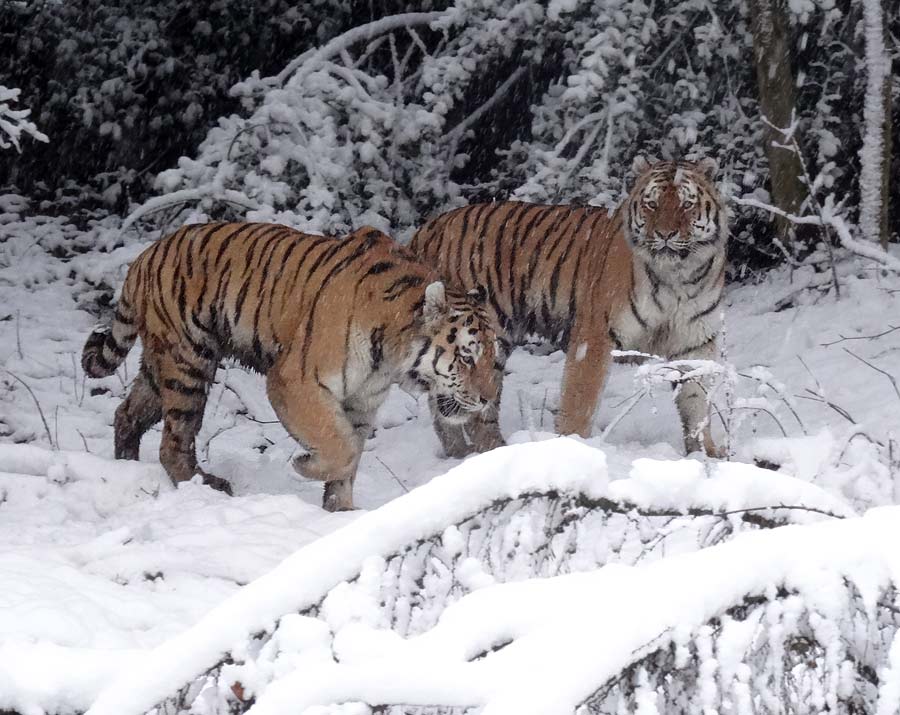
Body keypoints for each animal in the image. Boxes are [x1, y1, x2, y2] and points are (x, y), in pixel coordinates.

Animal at [82, 222, 500, 510]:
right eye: (466, 356)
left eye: (492, 358)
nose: (486, 399)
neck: (390, 358)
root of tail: (146, 255)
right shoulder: (295, 381)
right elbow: (341, 445)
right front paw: (303, 465)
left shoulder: (361, 401)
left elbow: (350, 453)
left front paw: (340, 511)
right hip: (188, 361)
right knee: (174, 441)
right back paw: (206, 487)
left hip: (162, 366)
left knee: (127, 414)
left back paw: (127, 466)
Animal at [412, 157, 728, 458]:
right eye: (652, 204)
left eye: (687, 204)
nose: (664, 234)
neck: (677, 276)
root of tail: (427, 228)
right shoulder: (596, 335)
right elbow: (581, 400)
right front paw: (573, 446)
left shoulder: (695, 341)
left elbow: (697, 398)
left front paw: (706, 452)